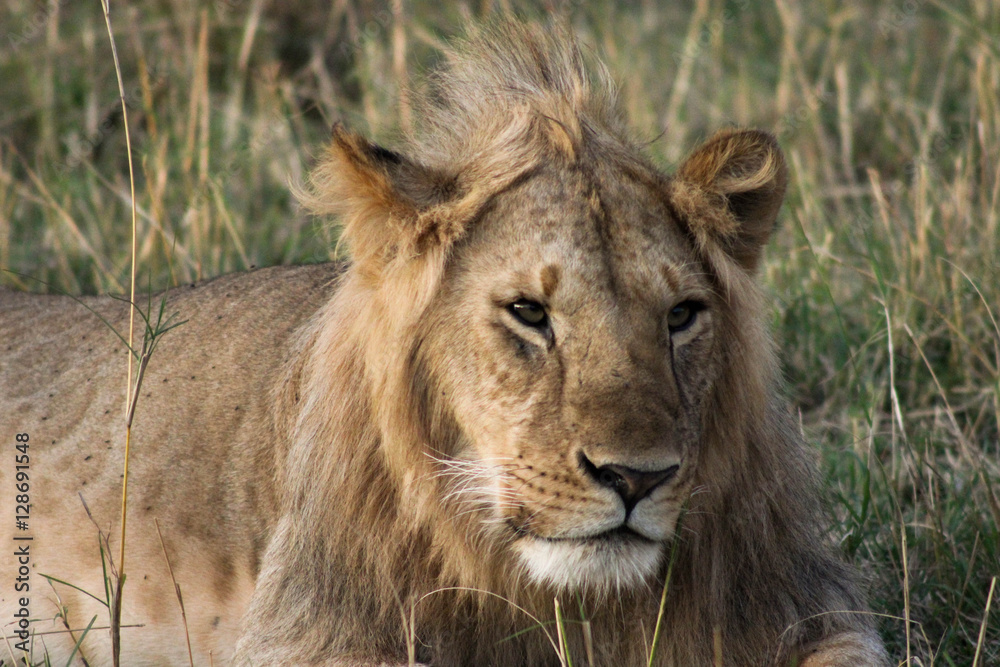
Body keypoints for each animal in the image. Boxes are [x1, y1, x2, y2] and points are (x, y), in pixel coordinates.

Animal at [1, 20, 892, 667]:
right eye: (529, 312)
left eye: (681, 316)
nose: (636, 477)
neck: (570, 604)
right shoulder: (308, 630)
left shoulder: (809, 611)